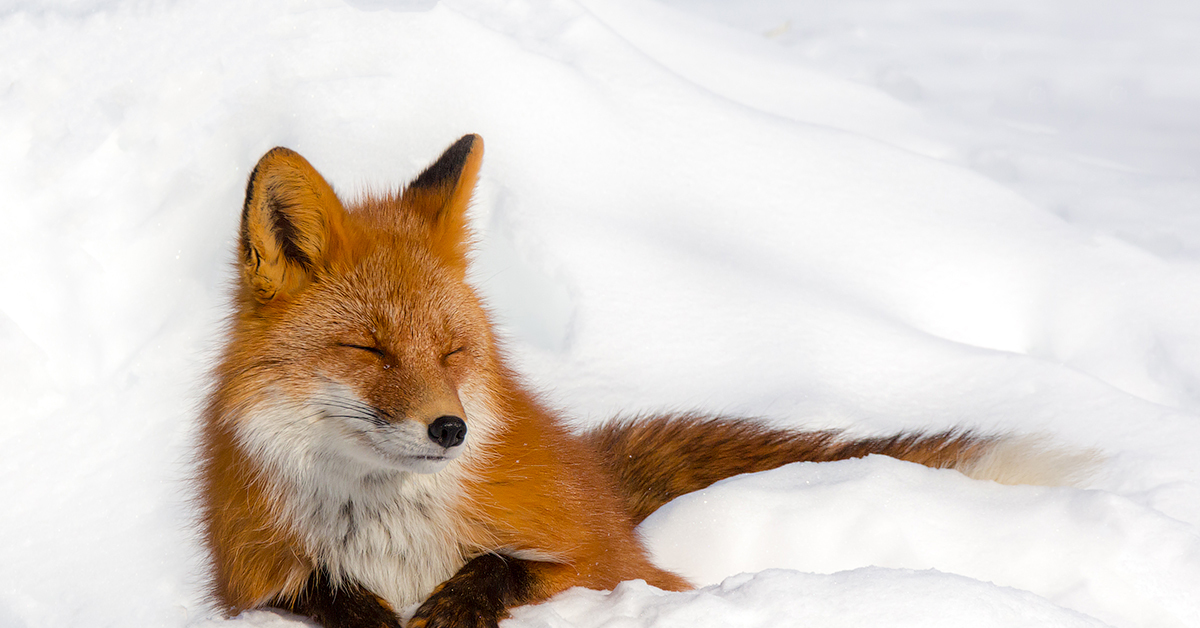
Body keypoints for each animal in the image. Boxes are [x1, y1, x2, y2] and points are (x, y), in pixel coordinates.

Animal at [199, 133, 1099, 628]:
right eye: (371, 349)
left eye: (452, 352)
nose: (451, 430)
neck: (390, 532)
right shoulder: (245, 579)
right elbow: (316, 594)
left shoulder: (595, 561)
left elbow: (510, 566)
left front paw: (457, 605)